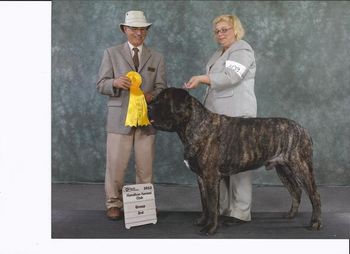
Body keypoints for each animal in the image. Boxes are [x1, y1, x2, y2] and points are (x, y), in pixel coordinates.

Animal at [146, 88, 322, 235]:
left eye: (163, 100)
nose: (148, 107)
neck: (194, 125)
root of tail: (303, 129)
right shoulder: (201, 178)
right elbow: (205, 203)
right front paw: (202, 221)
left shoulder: (210, 178)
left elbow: (212, 205)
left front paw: (210, 228)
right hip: (283, 169)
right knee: (296, 190)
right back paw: (291, 214)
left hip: (301, 166)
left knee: (314, 195)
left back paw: (315, 223)